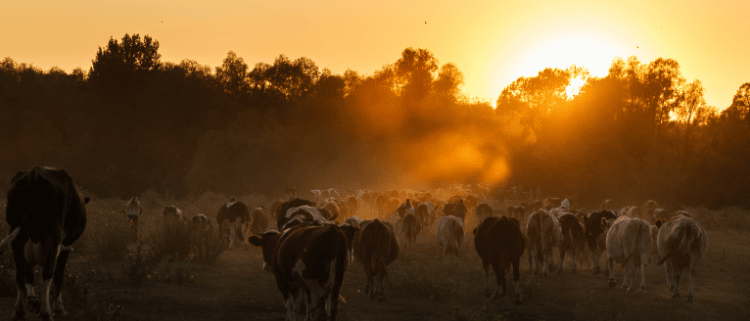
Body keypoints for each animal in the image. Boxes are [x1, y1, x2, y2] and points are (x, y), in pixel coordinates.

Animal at [0, 166, 89, 318]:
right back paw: (46, 312)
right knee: (48, 273)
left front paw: (32, 300)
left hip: (16, 232)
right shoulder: (65, 246)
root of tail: (34, 174)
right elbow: (59, 276)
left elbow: (28, 274)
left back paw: (19, 311)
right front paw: (59, 308)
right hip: (53, 235)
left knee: (19, 274)